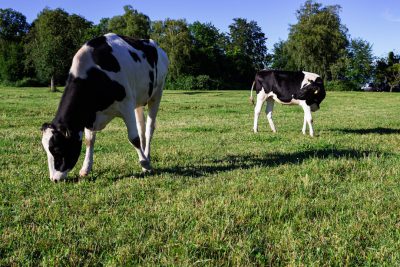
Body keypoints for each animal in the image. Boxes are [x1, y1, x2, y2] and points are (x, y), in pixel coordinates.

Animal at [41, 32, 169, 181]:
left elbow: (133, 138)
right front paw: (85, 168)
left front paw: (146, 165)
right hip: (138, 99)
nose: (54, 179)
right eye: (46, 150)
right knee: (141, 127)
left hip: (157, 93)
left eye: (58, 149)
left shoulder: (126, 105)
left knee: (149, 128)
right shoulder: (90, 114)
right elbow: (89, 141)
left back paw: (146, 158)